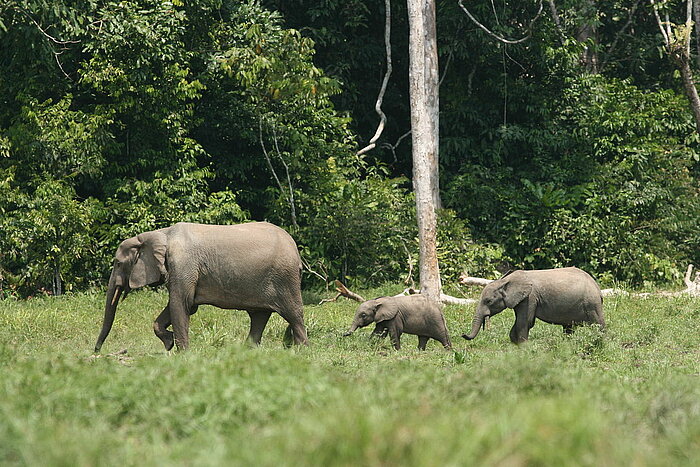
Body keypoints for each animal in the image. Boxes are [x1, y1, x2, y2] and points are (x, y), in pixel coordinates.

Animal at [93, 221, 308, 352]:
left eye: (118, 263)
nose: (96, 352)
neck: (159, 234)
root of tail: (295, 248)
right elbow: (182, 306)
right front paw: (169, 343)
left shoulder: (183, 265)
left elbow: (181, 304)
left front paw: (182, 354)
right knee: (259, 316)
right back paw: (247, 352)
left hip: (285, 278)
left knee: (294, 314)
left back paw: (300, 352)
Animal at [462, 266, 604, 344]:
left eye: (488, 301)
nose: (463, 335)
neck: (504, 281)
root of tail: (597, 287)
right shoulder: (521, 300)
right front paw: (516, 345)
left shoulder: (530, 298)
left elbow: (525, 322)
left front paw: (523, 347)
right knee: (568, 328)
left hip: (592, 303)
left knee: (599, 325)